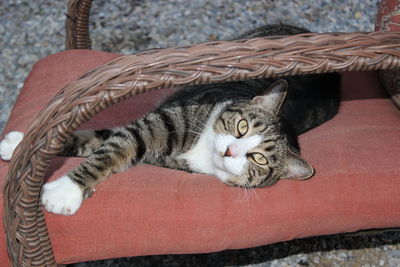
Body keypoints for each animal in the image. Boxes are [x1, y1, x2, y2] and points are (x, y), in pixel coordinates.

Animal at [0, 23, 340, 216]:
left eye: (258, 159)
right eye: (242, 128)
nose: (230, 150)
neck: (202, 149)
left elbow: (110, 148)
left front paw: (64, 191)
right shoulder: (160, 119)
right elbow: (102, 139)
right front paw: (20, 147)